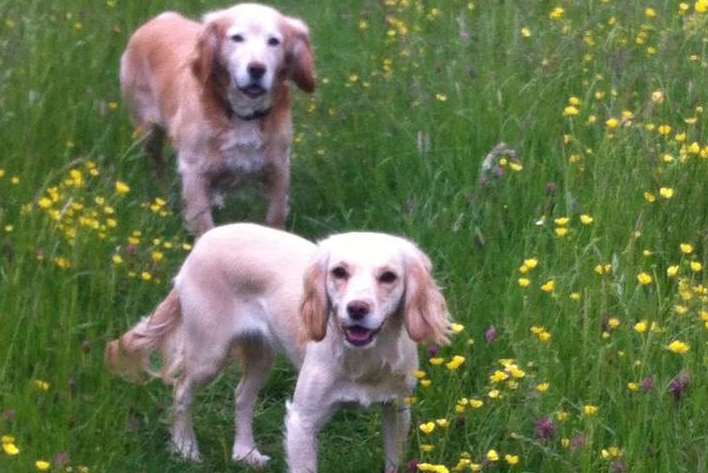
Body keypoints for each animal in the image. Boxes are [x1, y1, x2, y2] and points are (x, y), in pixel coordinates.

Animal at [105, 223, 448, 470]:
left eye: (388, 277)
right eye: (339, 272)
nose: (357, 309)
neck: (364, 359)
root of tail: (203, 241)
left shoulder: (397, 409)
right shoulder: (302, 422)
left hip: (261, 355)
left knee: (242, 396)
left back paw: (245, 453)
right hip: (208, 354)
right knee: (181, 392)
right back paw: (185, 449)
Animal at [121, 2, 316, 234]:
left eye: (274, 41)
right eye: (237, 38)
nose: (257, 69)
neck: (242, 115)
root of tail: (160, 19)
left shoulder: (278, 167)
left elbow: (275, 216)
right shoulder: (193, 171)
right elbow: (204, 225)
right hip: (148, 132)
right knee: (157, 164)